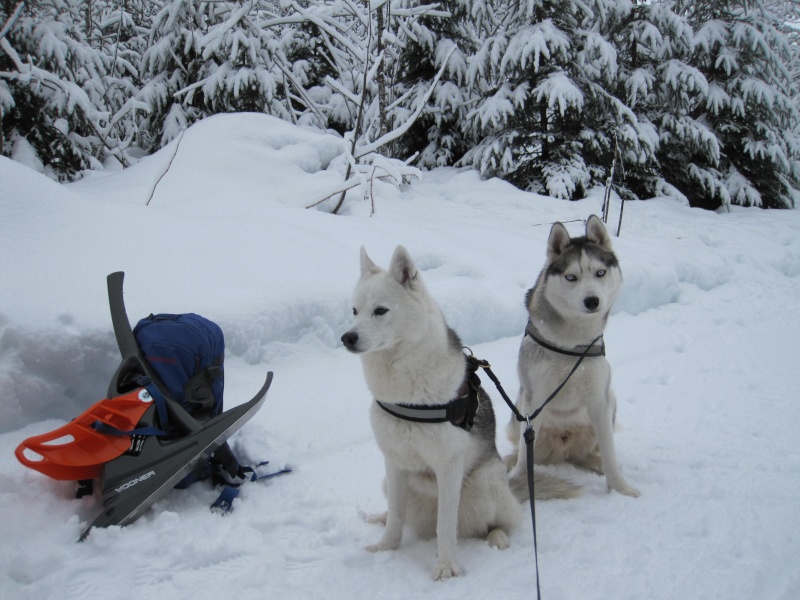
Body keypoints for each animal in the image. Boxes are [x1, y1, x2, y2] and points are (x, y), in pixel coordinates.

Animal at [344, 246, 576, 580]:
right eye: (354, 311)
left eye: (381, 310)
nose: (347, 338)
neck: (407, 390)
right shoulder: (395, 462)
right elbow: (397, 518)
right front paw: (385, 547)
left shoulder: (448, 467)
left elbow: (446, 525)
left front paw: (445, 566)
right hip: (390, 483)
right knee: (400, 513)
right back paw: (379, 517)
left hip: (482, 488)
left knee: (501, 522)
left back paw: (498, 538)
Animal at [510, 218, 640, 500]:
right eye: (571, 277)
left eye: (600, 273)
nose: (592, 301)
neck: (572, 343)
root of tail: (563, 447)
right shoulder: (534, 400)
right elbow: (524, 456)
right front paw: (519, 481)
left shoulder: (599, 400)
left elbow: (610, 453)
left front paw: (619, 487)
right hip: (519, 413)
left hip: (609, 402)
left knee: (593, 454)